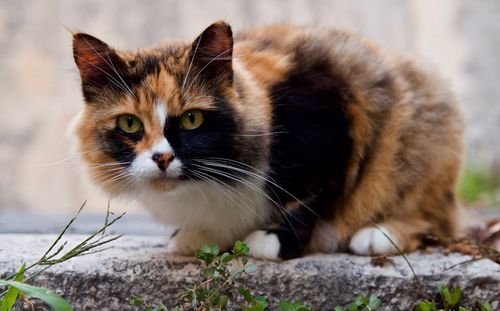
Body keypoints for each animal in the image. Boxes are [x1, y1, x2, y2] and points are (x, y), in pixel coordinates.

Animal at [70, 20, 464, 260]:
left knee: (432, 221)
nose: (162, 158)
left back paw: (377, 235)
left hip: (414, 154)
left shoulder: (332, 118)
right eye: (130, 124)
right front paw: (196, 237)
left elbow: (306, 198)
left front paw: (271, 241)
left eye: (192, 119)